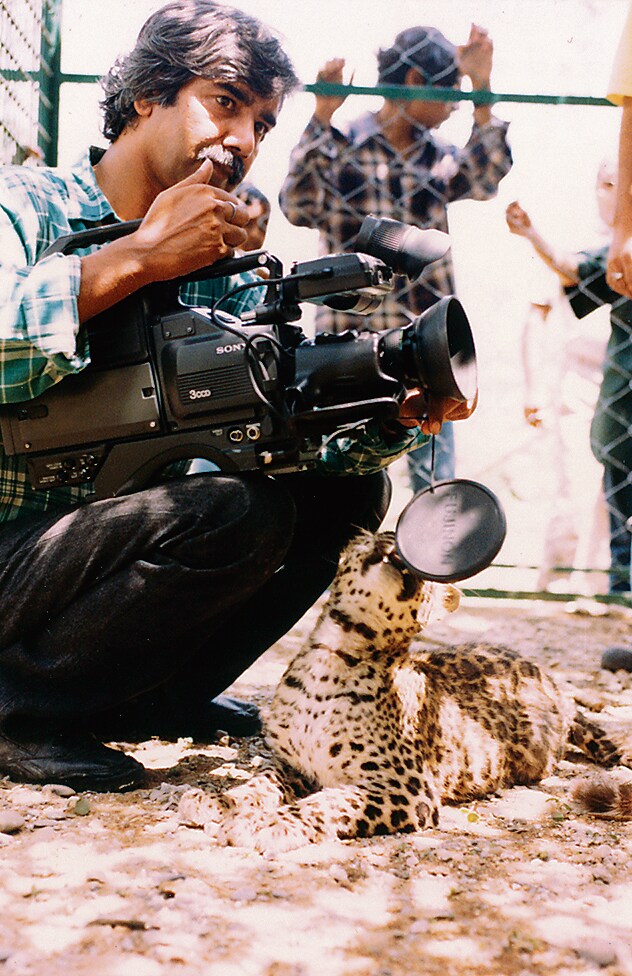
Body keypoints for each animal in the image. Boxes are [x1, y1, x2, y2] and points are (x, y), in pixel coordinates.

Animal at [179, 530, 632, 852]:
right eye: (380, 533)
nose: (399, 544)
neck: (334, 652)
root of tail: (551, 682)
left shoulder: (405, 788)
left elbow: (330, 802)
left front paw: (270, 823)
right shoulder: (291, 765)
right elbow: (259, 783)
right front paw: (219, 801)